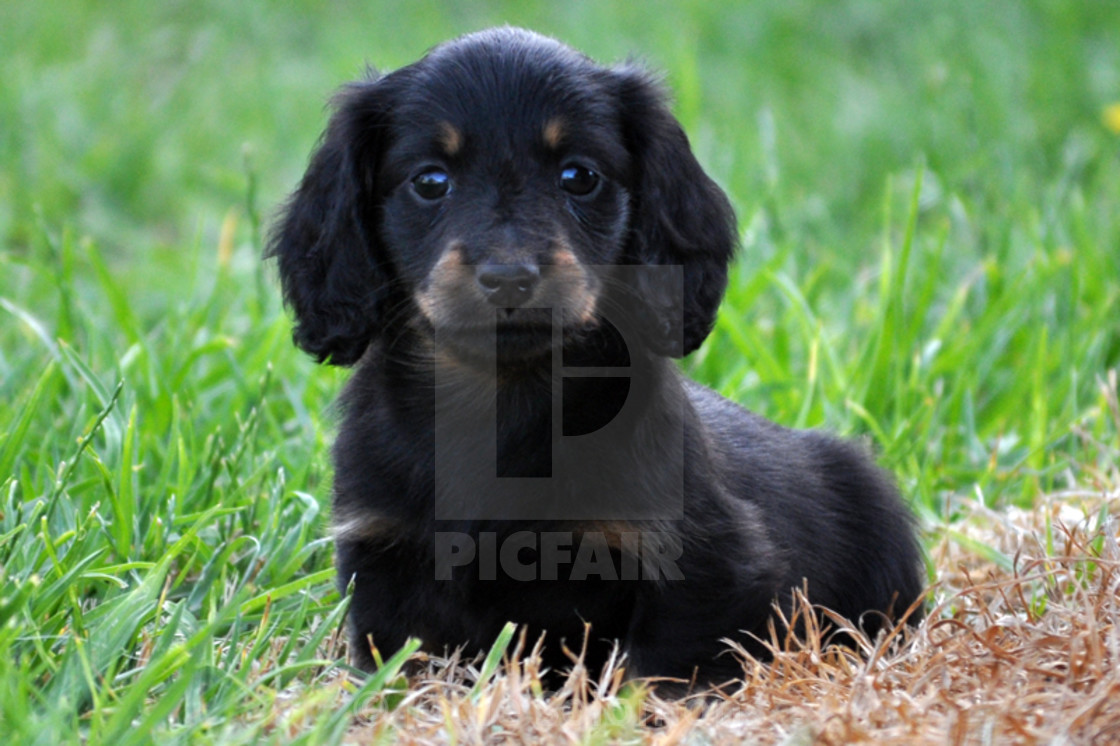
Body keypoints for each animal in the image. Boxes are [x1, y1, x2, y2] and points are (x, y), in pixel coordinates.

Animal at [266, 24, 922, 685]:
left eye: (579, 176)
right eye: (430, 181)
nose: (509, 279)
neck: (503, 398)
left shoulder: (703, 569)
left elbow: (659, 672)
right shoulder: (385, 556)